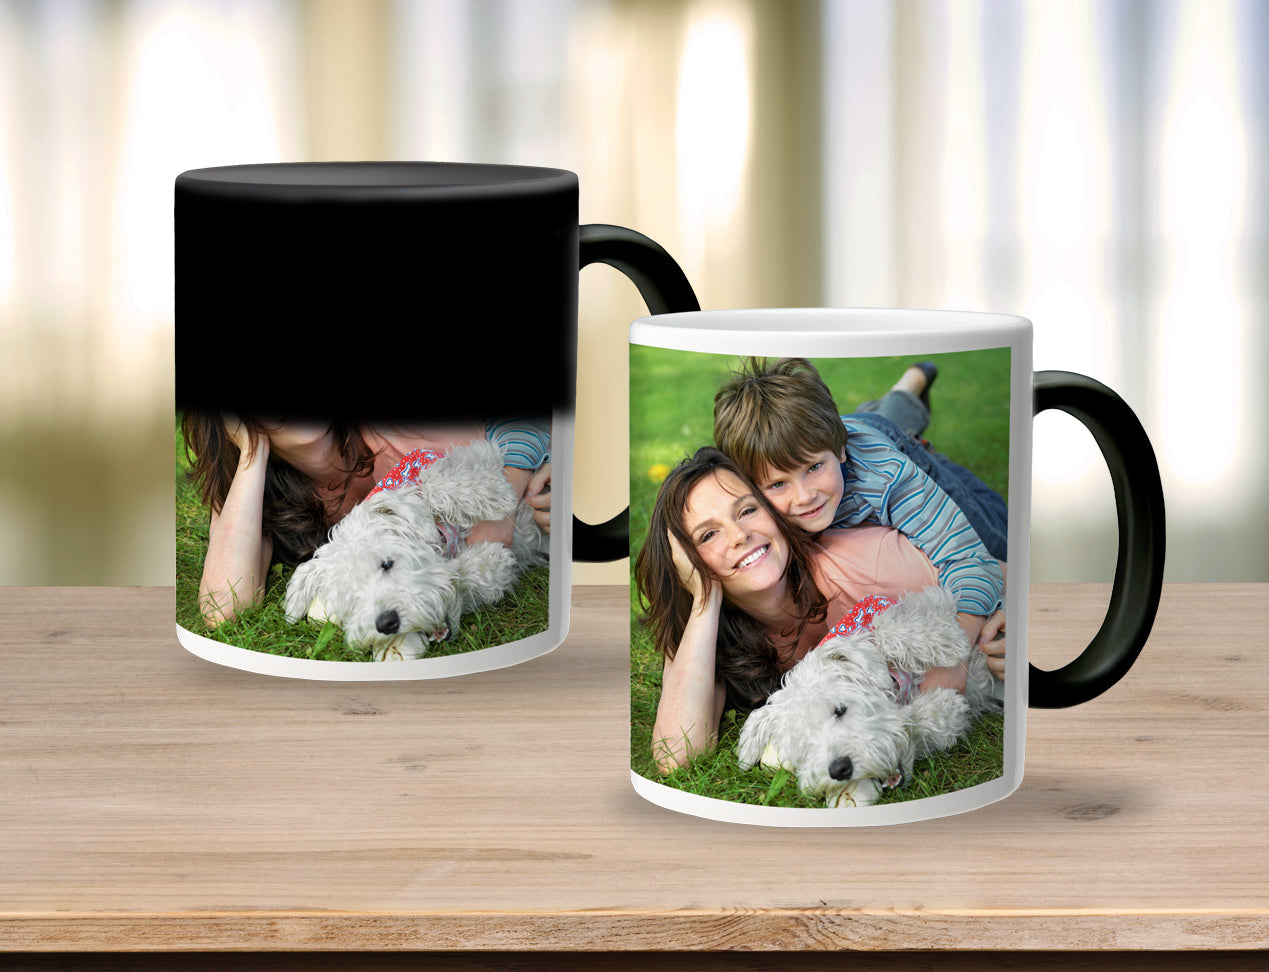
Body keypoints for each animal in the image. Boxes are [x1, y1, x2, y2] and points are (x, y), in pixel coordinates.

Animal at [285, 441, 548, 659]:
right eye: (351, 598)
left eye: (387, 563)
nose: (387, 623)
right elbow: (464, 575)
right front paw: (490, 562)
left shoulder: (469, 455)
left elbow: (433, 482)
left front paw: (496, 496)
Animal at [741, 588, 994, 812]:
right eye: (805, 744)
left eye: (840, 710)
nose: (840, 769)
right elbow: (917, 721)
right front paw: (943, 708)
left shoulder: (910, 602)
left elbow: (886, 629)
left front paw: (949, 642)